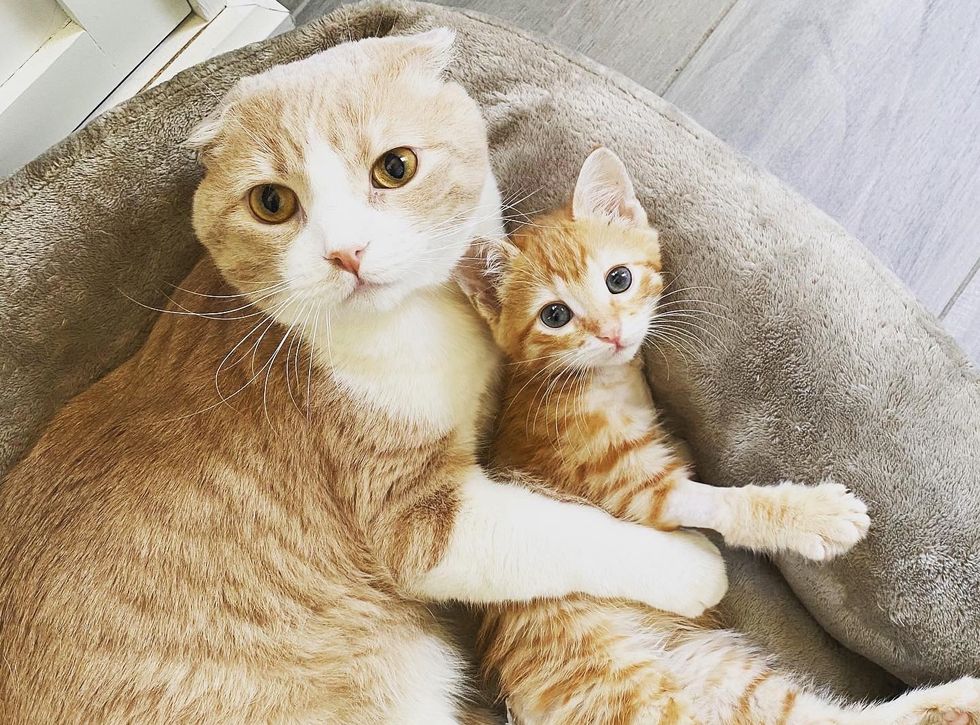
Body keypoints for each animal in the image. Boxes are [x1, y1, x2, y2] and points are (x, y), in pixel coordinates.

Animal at [0, 29, 728, 724]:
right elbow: (562, 532)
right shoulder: (416, 520)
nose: (346, 252)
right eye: (271, 202)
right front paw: (692, 565)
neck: (420, 321)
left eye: (395, 167)